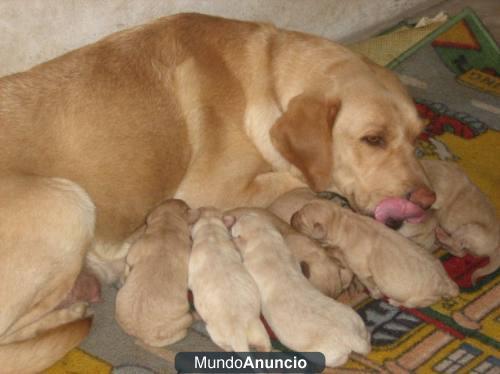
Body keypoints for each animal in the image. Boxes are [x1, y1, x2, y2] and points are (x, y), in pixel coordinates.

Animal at [232, 212, 370, 366]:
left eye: (240, 220)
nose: (241, 214)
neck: (265, 240)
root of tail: (352, 338)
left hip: (328, 355)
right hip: (358, 323)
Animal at [292, 200, 460, 308]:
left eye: (300, 220)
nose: (292, 215)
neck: (342, 221)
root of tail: (447, 285)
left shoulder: (362, 271)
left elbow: (369, 284)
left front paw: (374, 294)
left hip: (420, 298)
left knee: (410, 304)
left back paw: (394, 302)